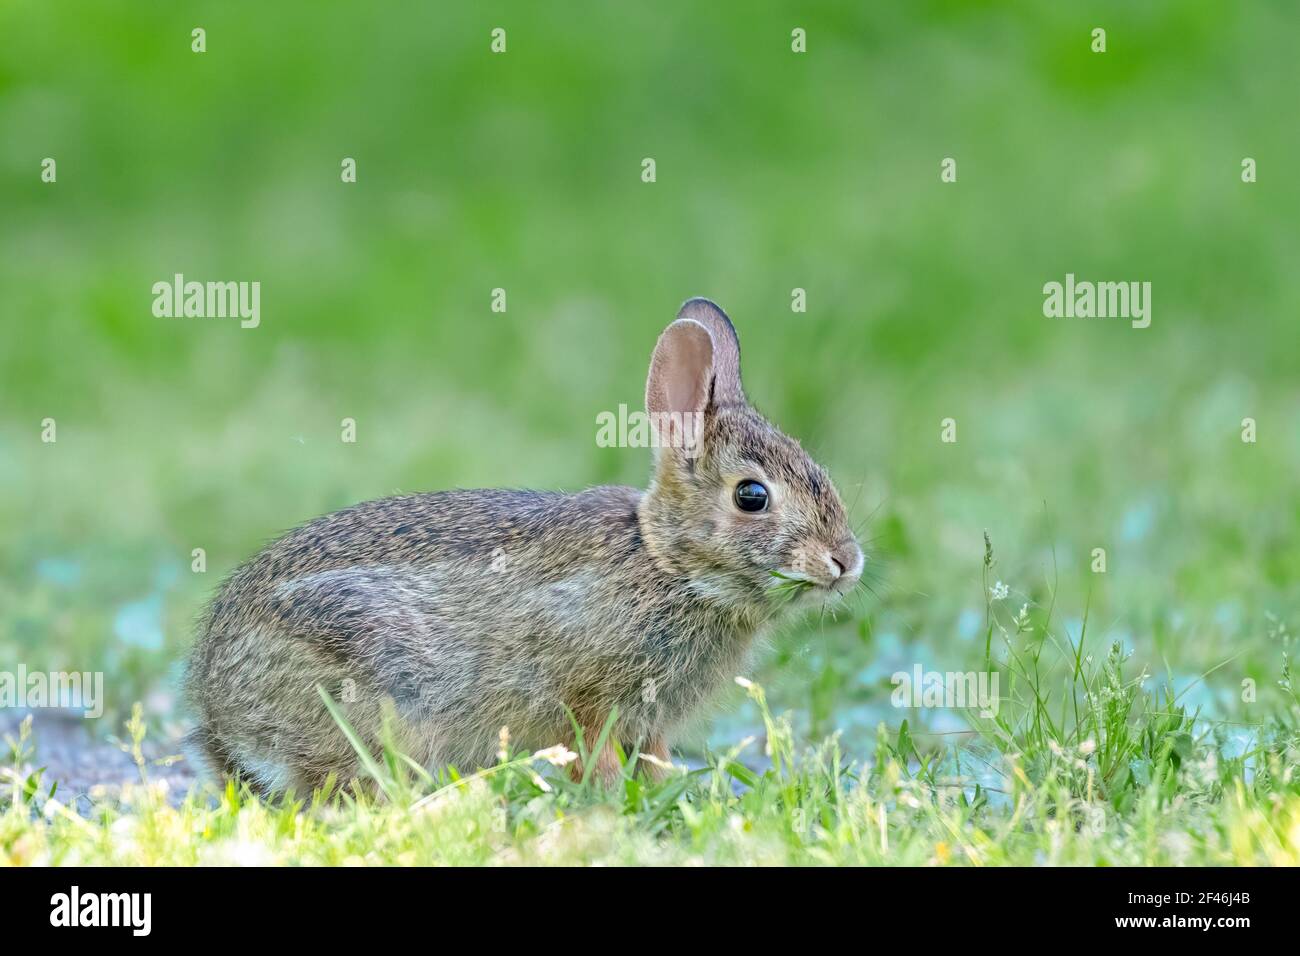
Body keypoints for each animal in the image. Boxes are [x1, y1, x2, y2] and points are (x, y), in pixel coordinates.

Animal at [183, 297, 868, 790]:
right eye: (751, 496)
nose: (845, 561)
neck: (665, 563)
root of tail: (219, 716)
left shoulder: (648, 721)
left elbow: (654, 759)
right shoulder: (586, 694)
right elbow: (596, 752)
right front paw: (611, 804)